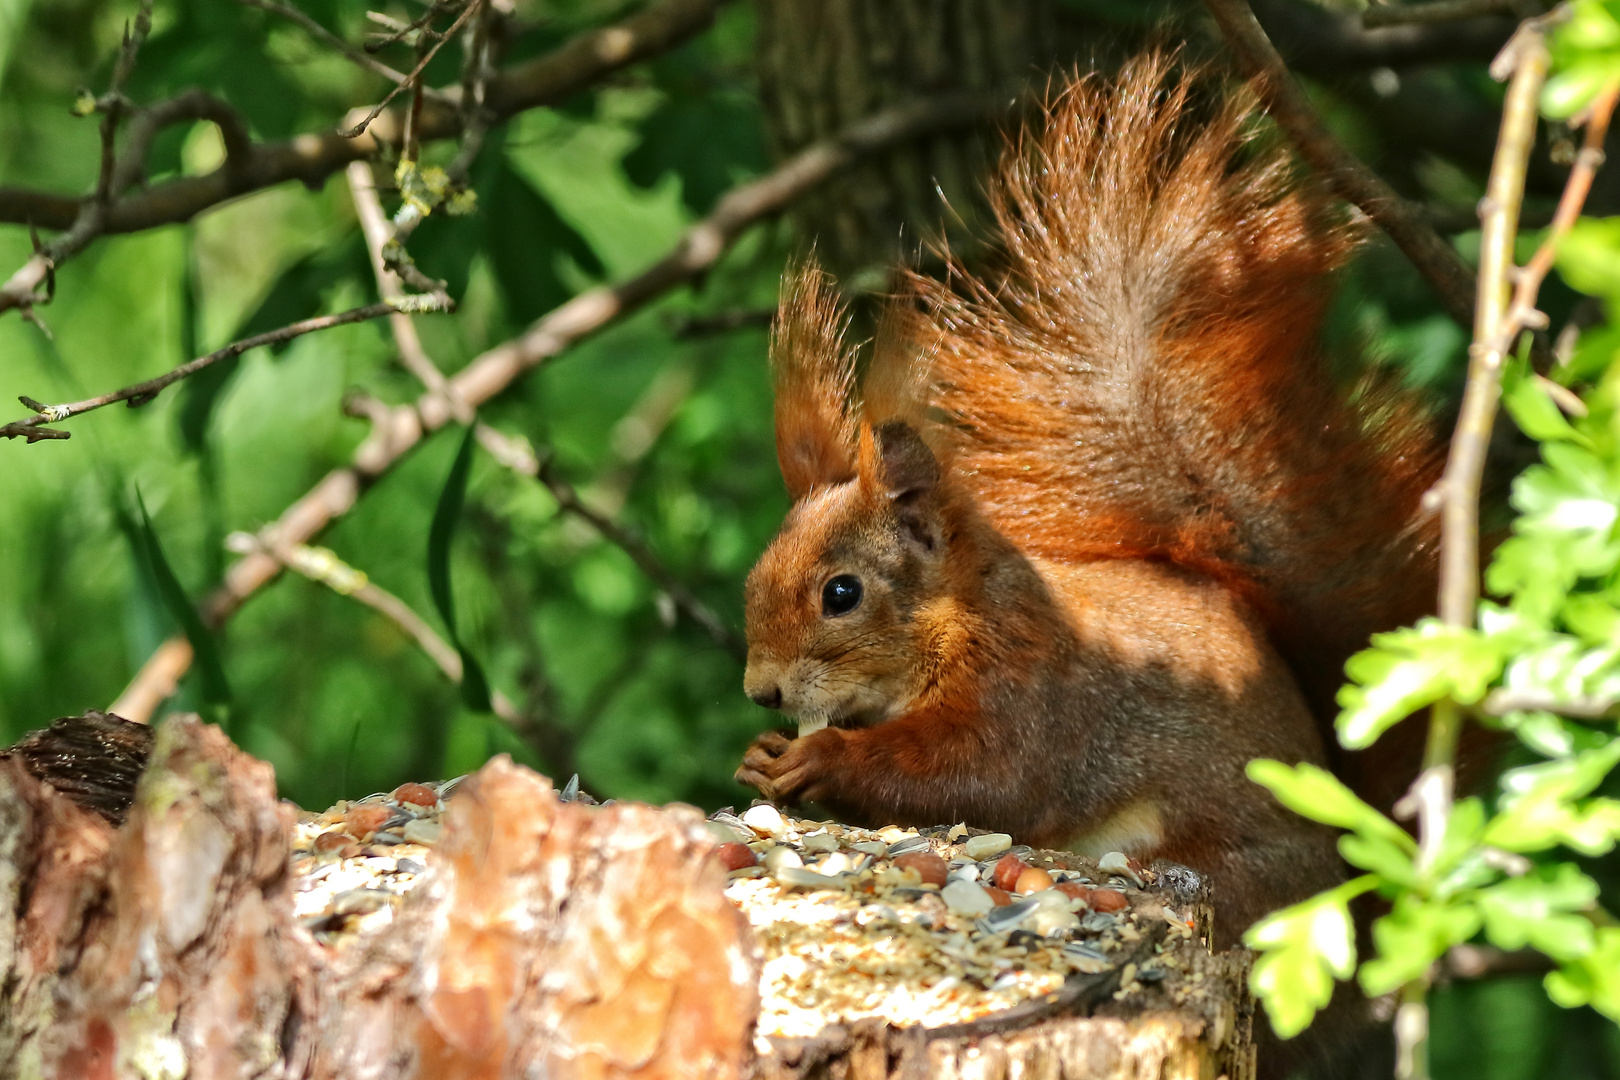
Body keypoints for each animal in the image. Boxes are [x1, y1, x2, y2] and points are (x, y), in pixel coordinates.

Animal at [735, 59, 1445, 952]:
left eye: (841, 594)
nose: (762, 692)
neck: (964, 615)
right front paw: (761, 757)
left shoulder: (1036, 691)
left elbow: (984, 777)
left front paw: (819, 759)